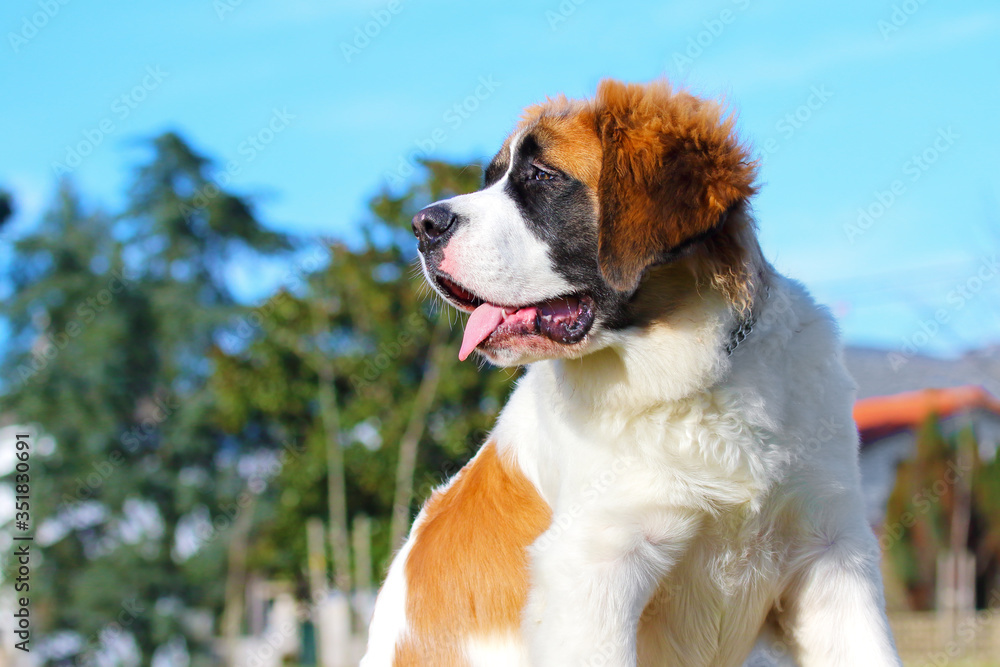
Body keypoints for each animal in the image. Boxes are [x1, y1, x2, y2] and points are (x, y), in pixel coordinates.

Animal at [360, 79, 900, 667]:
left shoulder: (832, 553)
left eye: (542, 176)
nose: (422, 225)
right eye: (492, 178)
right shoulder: (593, 574)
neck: (693, 379)